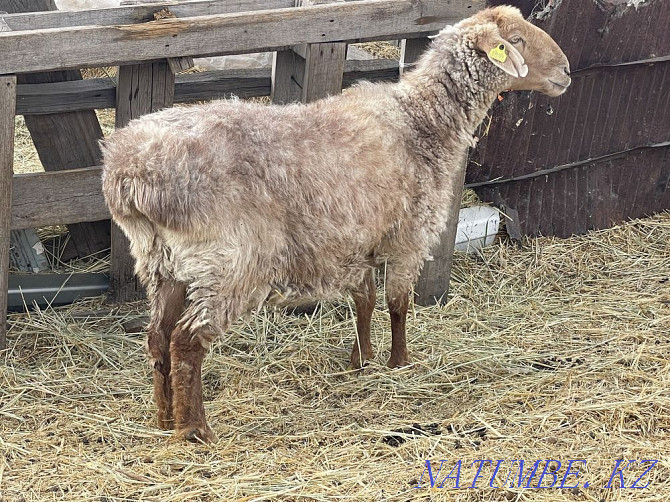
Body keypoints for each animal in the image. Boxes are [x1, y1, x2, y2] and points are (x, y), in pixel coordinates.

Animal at [101, 4, 572, 444]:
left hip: (163, 263)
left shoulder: (358, 239)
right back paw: (194, 429)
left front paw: (360, 361)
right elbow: (398, 304)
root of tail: (128, 175)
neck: (422, 120)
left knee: (158, 337)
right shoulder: (409, 235)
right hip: (228, 262)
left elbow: (364, 301)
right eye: (516, 41)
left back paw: (164, 419)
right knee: (187, 341)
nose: (567, 70)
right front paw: (399, 362)